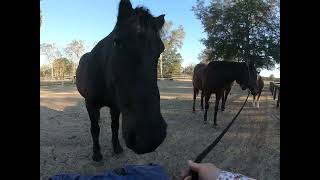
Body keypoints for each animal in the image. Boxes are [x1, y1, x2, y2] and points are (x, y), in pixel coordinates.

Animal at [76, 0, 168, 161]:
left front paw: (117, 148)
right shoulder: (90, 104)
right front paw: (97, 154)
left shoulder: (115, 106)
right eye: (117, 42)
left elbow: (114, 126)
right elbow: (95, 129)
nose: (149, 138)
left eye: (161, 49)